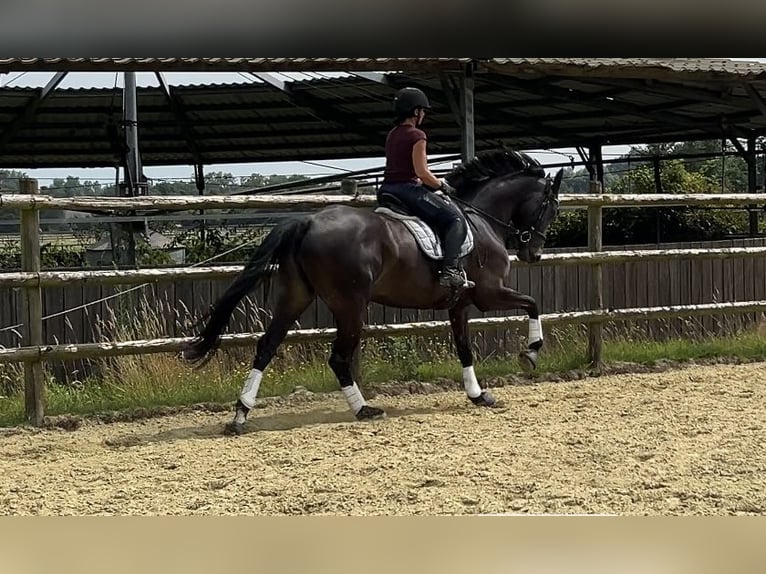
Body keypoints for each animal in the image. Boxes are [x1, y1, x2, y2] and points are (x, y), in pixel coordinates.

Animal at [182, 151, 560, 434]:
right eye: (551, 208)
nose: (534, 254)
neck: (481, 219)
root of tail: (308, 221)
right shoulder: (487, 293)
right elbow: (533, 304)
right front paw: (530, 354)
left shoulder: (460, 304)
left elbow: (464, 348)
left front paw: (478, 395)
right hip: (350, 305)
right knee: (337, 357)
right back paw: (364, 409)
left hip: (295, 297)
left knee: (267, 346)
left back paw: (240, 415)